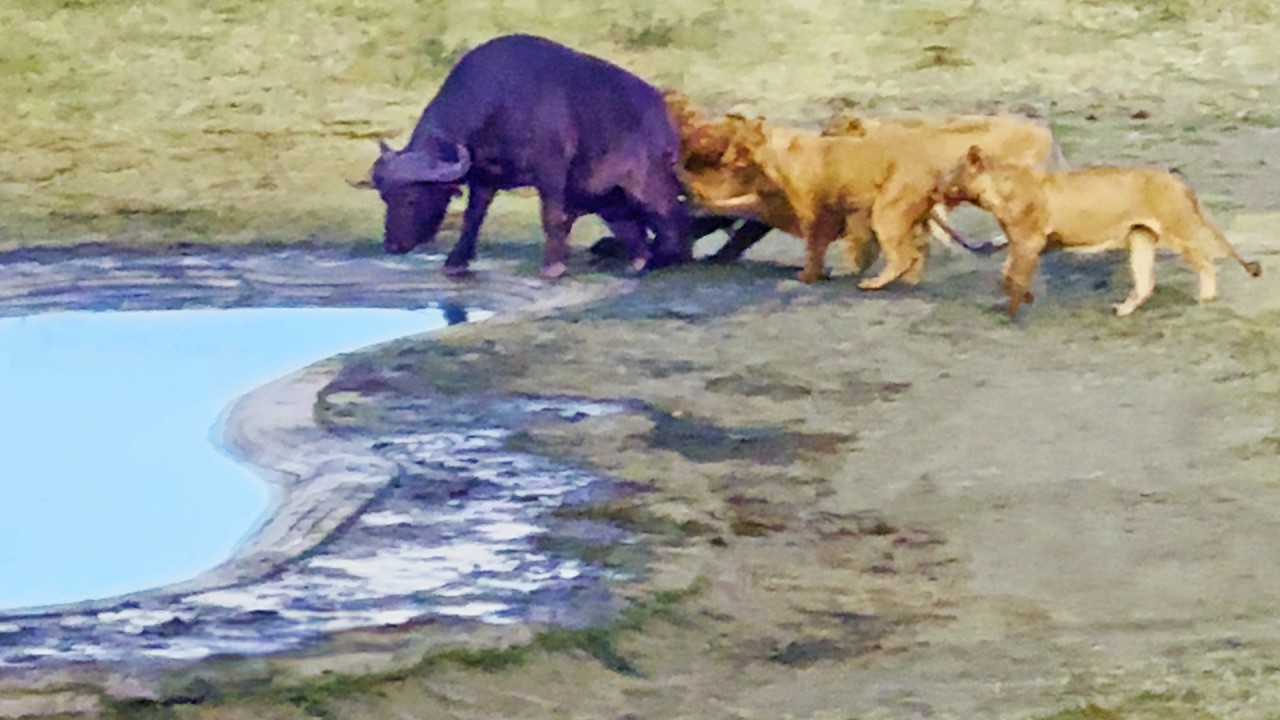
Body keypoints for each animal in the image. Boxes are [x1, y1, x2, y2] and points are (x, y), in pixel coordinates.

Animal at [356, 34, 692, 278]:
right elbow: (472, 218)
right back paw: (641, 260)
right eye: (385, 197)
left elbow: (551, 217)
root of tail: (663, 115)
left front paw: (553, 265)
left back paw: (668, 258)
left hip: (645, 183)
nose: (392, 245)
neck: (502, 103)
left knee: (672, 215)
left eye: (412, 199)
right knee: (631, 227)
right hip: (607, 197)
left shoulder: (551, 173)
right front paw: (456, 261)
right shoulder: (483, 179)